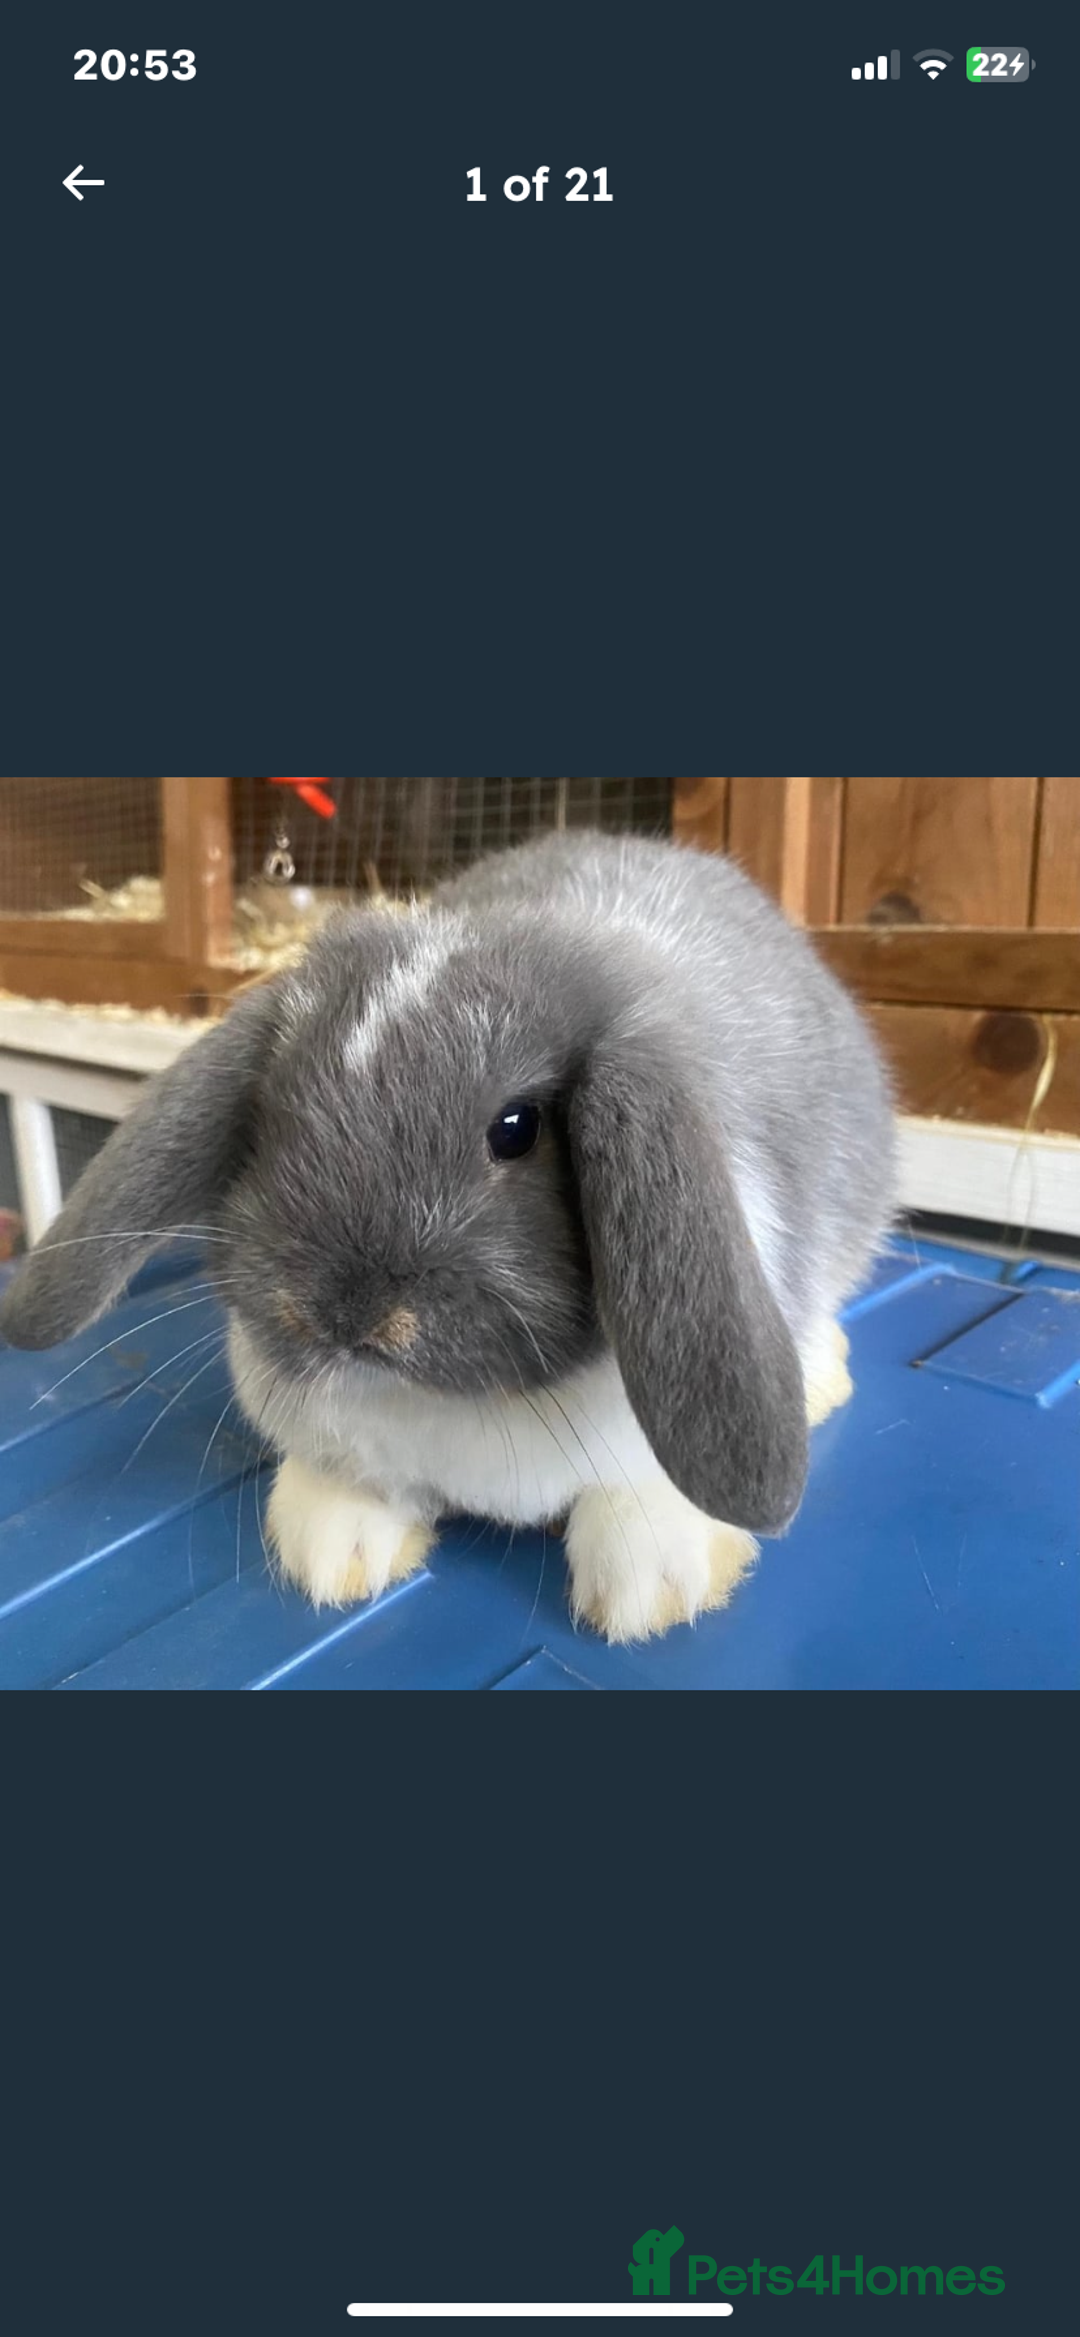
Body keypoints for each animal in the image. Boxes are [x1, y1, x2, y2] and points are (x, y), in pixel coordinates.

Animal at [0, 832, 896, 1645]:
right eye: (271, 1113)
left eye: (517, 1127)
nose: (340, 1315)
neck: (456, 1408)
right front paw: (331, 1552)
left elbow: (639, 1508)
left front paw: (652, 1594)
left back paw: (820, 1381)